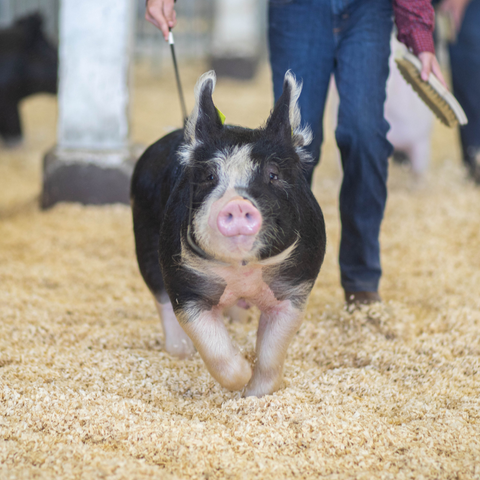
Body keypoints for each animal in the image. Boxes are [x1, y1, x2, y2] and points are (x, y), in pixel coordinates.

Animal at [130, 71, 326, 398]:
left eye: (273, 174)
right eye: (210, 176)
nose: (236, 203)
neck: (241, 272)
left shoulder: (294, 287)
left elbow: (272, 351)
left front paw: (253, 393)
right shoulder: (186, 286)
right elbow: (215, 348)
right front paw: (242, 374)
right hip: (144, 240)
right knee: (159, 295)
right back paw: (181, 350)